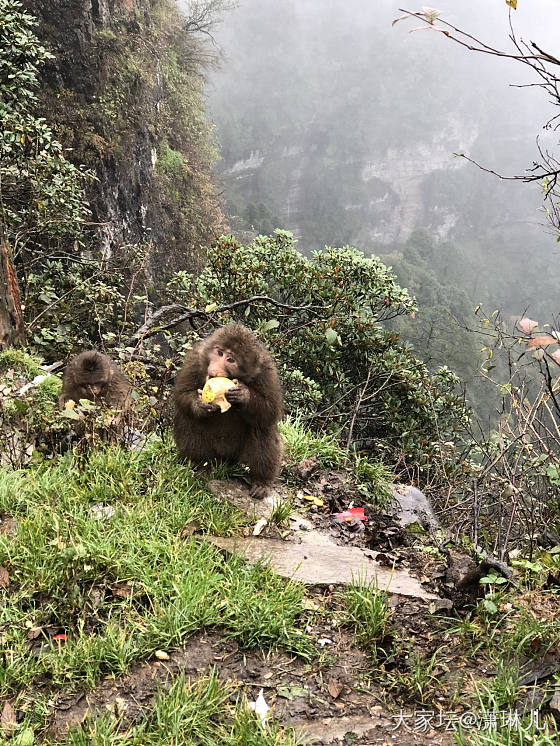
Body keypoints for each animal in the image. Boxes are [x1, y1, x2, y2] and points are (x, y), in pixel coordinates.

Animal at [174, 322, 284, 496]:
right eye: (219, 353)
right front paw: (199, 404)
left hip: (237, 456)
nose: (213, 371)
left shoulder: (266, 371)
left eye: (230, 359)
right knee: (189, 420)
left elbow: (270, 412)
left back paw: (261, 481)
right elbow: (182, 395)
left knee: (262, 429)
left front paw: (244, 395)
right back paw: (201, 467)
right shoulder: (195, 359)